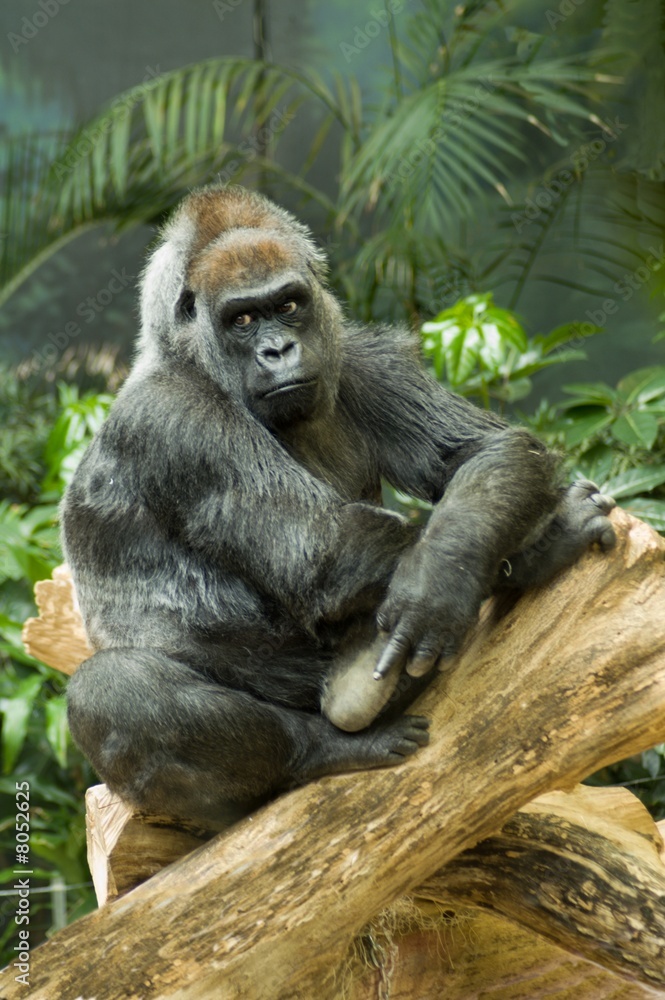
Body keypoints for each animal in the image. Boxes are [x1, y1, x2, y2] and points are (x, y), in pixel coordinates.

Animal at [62, 184, 616, 826]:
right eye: (242, 319)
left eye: (289, 305)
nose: (278, 350)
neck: (189, 356)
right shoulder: (173, 419)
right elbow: (327, 551)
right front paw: (524, 553)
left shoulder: (360, 355)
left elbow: (480, 451)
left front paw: (448, 573)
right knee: (112, 689)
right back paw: (326, 745)